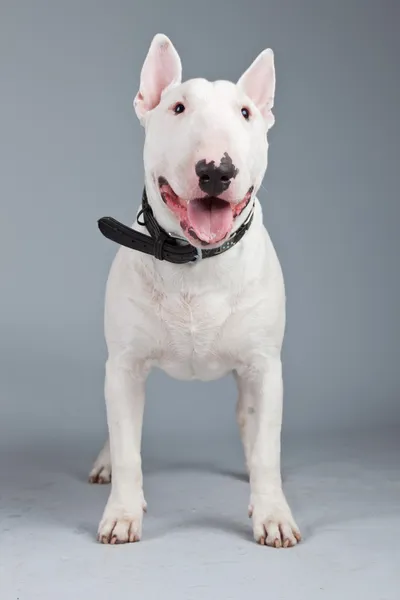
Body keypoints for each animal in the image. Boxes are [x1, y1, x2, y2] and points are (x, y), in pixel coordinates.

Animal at [88, 32, 300, 548]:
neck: (196, 262)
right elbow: (128, 449)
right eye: (177, 107)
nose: (216, 171)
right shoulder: (124, 366)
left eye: (246, 112)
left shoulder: (265, 368)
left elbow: (266, 448)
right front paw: (122, 515)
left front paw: (273, 515)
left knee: (249, 424)